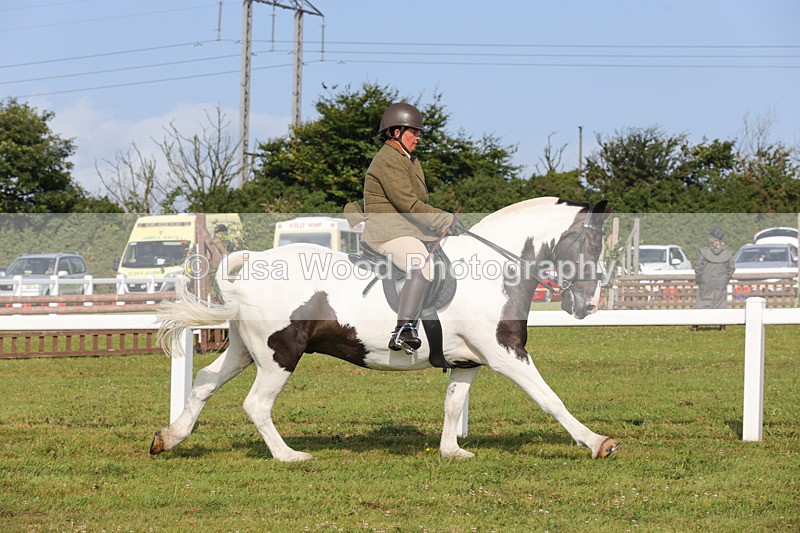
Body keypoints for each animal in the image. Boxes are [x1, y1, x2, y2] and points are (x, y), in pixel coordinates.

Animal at [151, 197, 620, 461]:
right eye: (594, 243)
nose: (588, 305)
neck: (494, 270)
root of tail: (251, 264)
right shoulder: (506, 354)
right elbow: (550, 398)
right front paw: (598, 442)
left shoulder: (467, 360)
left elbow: (453, 405)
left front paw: (452, 451)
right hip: (279, 355)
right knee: (256, 405)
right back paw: (289, 456)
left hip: (247, 350)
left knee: (205, 381)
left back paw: (169, 438)